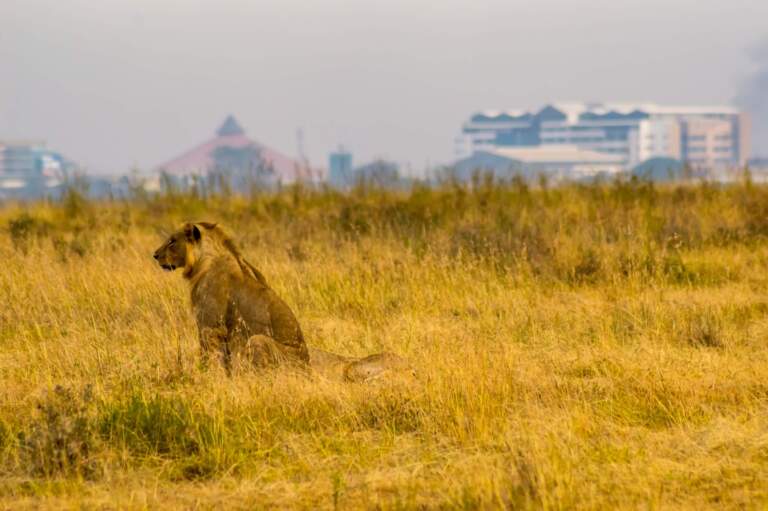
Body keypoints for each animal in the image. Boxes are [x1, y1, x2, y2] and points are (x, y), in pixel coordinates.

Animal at [152, 222, 414, 382]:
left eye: (172, 241)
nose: (154, 255)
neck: (202, 261)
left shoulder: (210, 327)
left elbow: (210, 359)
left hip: (259, 342)